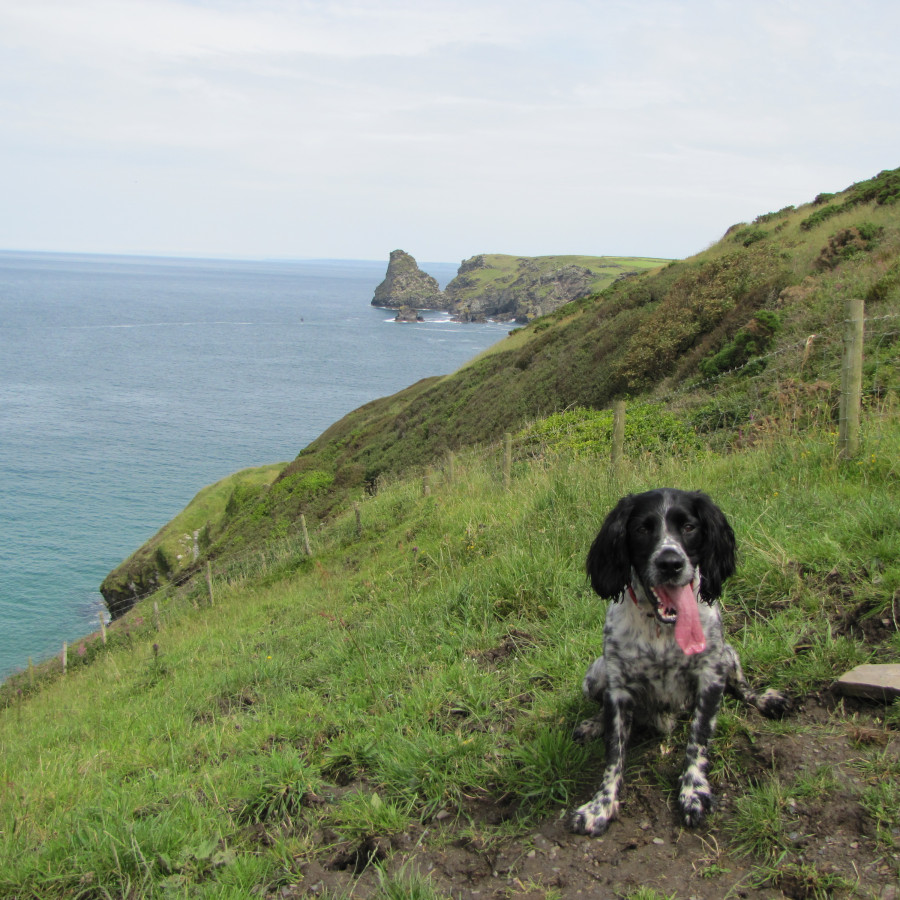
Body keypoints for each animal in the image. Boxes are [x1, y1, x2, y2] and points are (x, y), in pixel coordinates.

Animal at [568, 488, 788, 832]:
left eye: (689, 527)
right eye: (642, 529)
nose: (670, 563)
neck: (663, 629)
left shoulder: (711, 676)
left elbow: (697, 742)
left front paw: (693, 793)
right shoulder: (619, 687)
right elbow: (614, 755)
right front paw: (600, 806)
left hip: (729, 656)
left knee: (743, 687)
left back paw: (766, 699)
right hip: (595, 675)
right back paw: (593, 724)